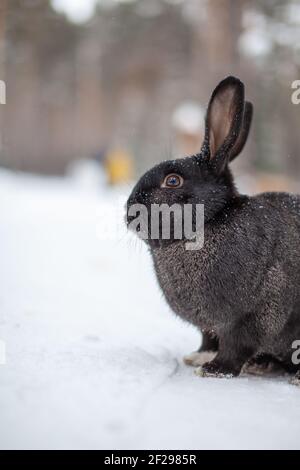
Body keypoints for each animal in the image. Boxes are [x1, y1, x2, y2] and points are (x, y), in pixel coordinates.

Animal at [126, 76, 300, 386]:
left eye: (173, 181)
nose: (129, 213)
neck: (209, 223)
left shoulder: (258, 313)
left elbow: (237, 345)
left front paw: (213, 369)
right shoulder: (209, 328)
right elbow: (209, 339)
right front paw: (198, 357)